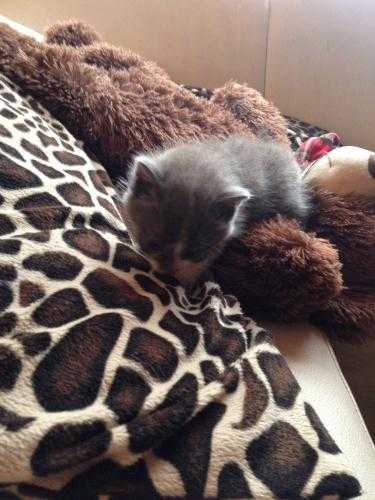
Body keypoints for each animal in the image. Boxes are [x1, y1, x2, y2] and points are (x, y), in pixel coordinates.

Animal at [120, 136, 312, 286]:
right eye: (153, 243)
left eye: (195, 252)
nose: (166, 271)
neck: (211, 157)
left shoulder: (226, 234)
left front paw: (187, 280)